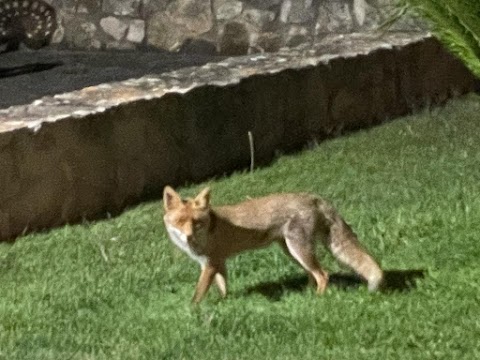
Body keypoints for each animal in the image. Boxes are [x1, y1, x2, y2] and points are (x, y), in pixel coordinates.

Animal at [163, 186, 384, 304]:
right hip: (291, 251)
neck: (209, 229)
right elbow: (223, 287)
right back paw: (307, 294)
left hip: (298, 249)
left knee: (323, 275)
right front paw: (225, 303)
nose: (188, 236)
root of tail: (312, 197)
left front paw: (193, 311)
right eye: (180, 222)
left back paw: (317, 298)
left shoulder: (211, 264)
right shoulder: (216, 263)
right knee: (312, 274)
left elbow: (198, 293)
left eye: (196, 223)